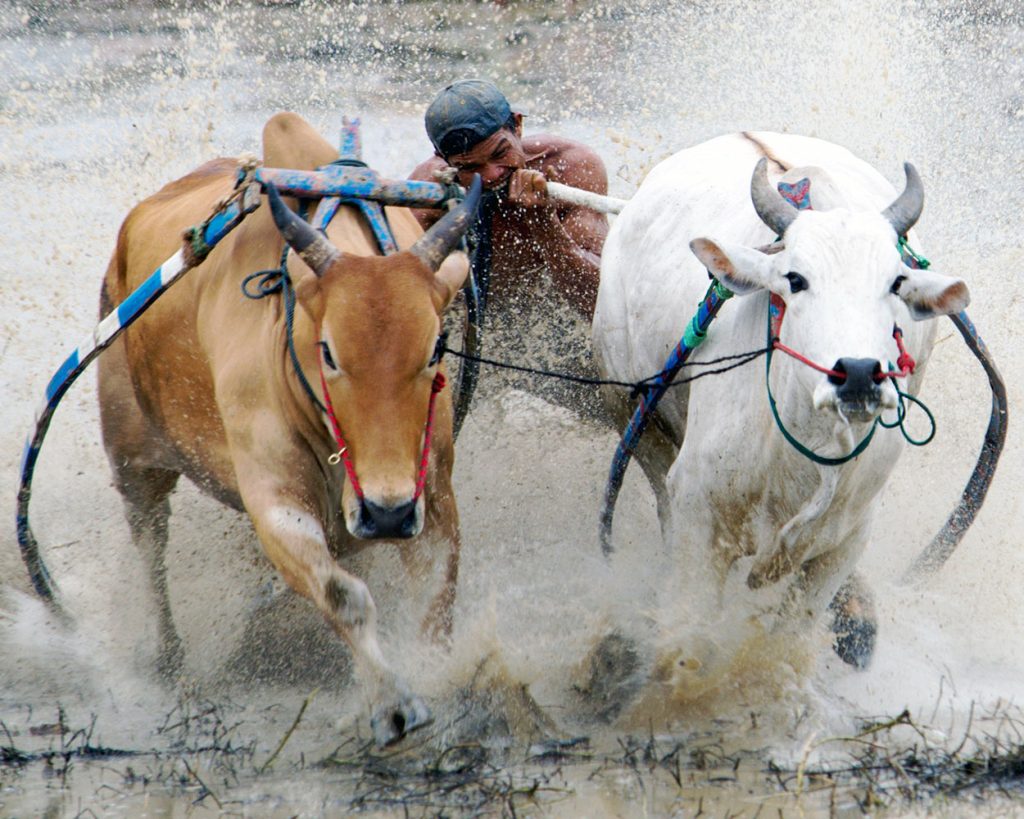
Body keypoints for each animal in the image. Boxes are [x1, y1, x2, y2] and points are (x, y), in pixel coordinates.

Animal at [97, 112, 477, 745]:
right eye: (328, 353)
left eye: (433, 350)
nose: (387, 513)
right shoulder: (273, 499)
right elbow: (344, 597)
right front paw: (393, 703)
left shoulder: (433, 493)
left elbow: (435, 605)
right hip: (132, 461)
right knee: (150, 546)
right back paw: (169, 659)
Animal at [593, 133, 966, 671]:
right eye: (795, 278)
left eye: (896, 282)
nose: (858, 373)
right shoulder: (699, 518)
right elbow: (689, 641)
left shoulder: (844, 545)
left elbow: (786, 645)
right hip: (630, 412)